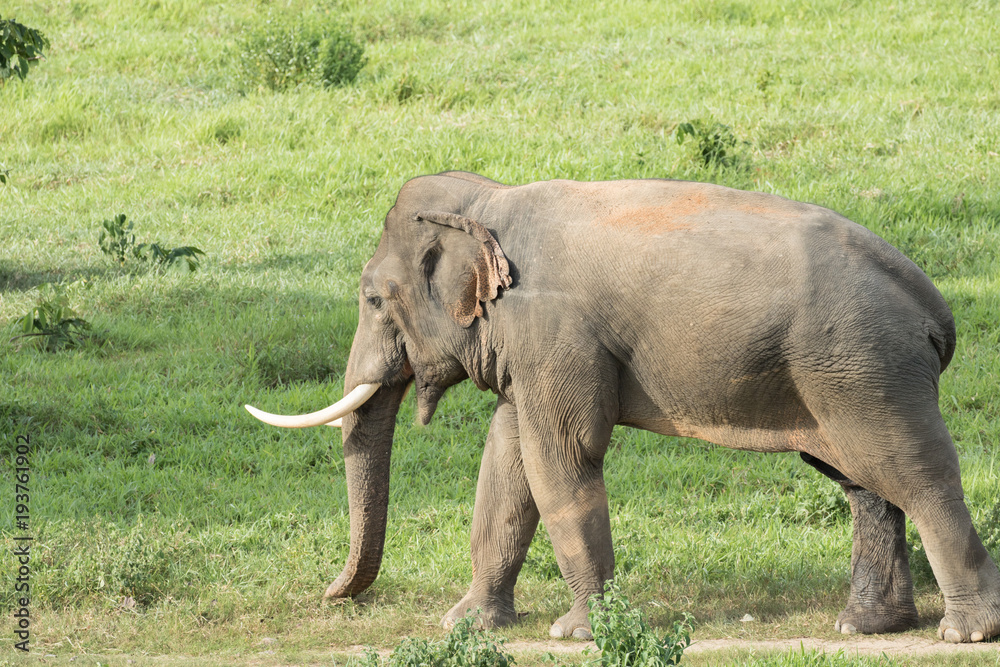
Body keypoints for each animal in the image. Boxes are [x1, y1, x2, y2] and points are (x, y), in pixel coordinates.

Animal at [246, 171, 1000, 643]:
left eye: (373, 297)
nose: (332, 594)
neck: (492, 199)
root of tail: (934, 306)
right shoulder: (529, 346)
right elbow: (507, 462)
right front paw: (466, 624)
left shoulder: (553, 330)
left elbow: (561, 457)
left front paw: (577, 631)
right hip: (838, 375)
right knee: (863, 482)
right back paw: (866, 625)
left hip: (863, 364)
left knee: (913, 472)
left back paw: (963, 631)